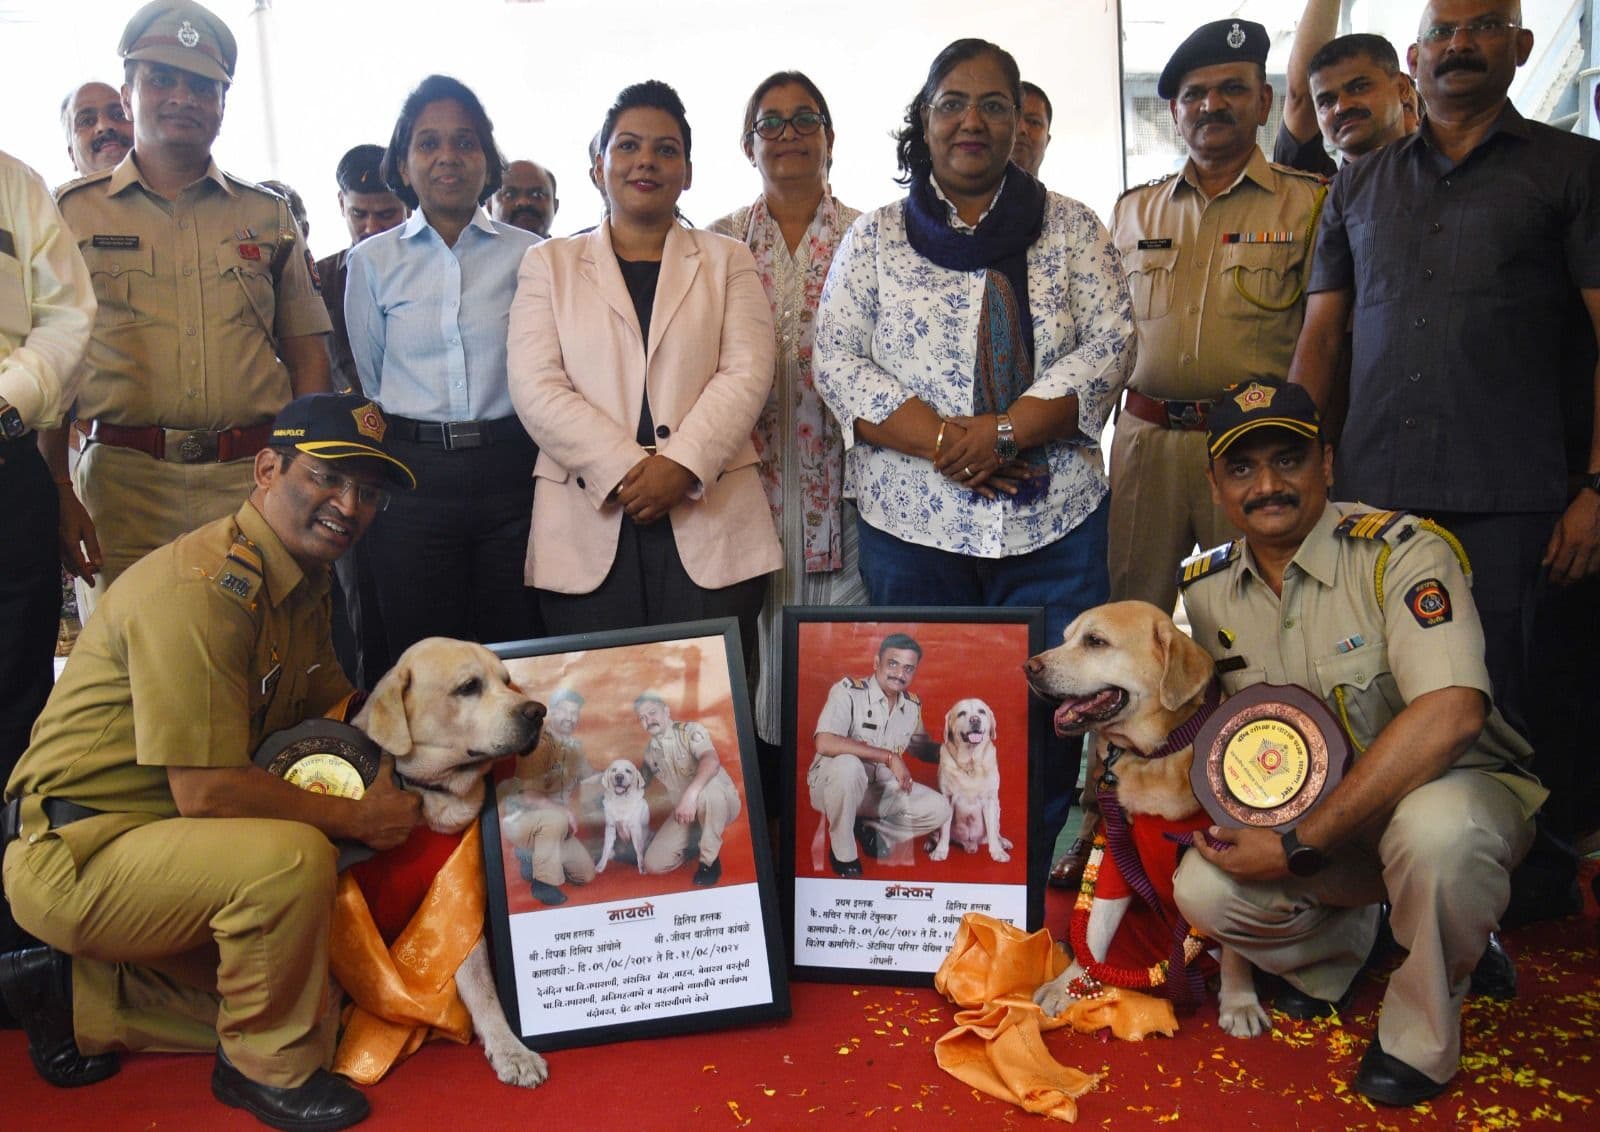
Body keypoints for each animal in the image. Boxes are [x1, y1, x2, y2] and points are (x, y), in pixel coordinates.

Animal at [353, 636, 553, 1087]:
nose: (537, 711)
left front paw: (510, 1049)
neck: (432, 795)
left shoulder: (456, 906)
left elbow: (483, 989)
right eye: (468, 687)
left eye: (507, 680)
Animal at [928, 693, 1011, 863]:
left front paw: (997, 851)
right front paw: (940, 850)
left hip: (998, 807)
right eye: (962, 713)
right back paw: (930, 843)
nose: (975, 720)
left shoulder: (990, 799)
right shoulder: (946, 797)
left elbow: (992, 830)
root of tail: (969, 844)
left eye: (981, 712)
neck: (970, 765)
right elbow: (944, 830)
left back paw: (1002, 842)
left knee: (996, 830)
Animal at [1017, 604, 1267, 1036]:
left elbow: (1237, 949)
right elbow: (1095, 928)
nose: (1029, 667)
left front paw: (1240, 1002)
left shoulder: (1230, 851)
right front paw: (1070, 983)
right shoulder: (1117, 850)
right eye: (1066, 637)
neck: (1156, 756)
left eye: (1095, 641)